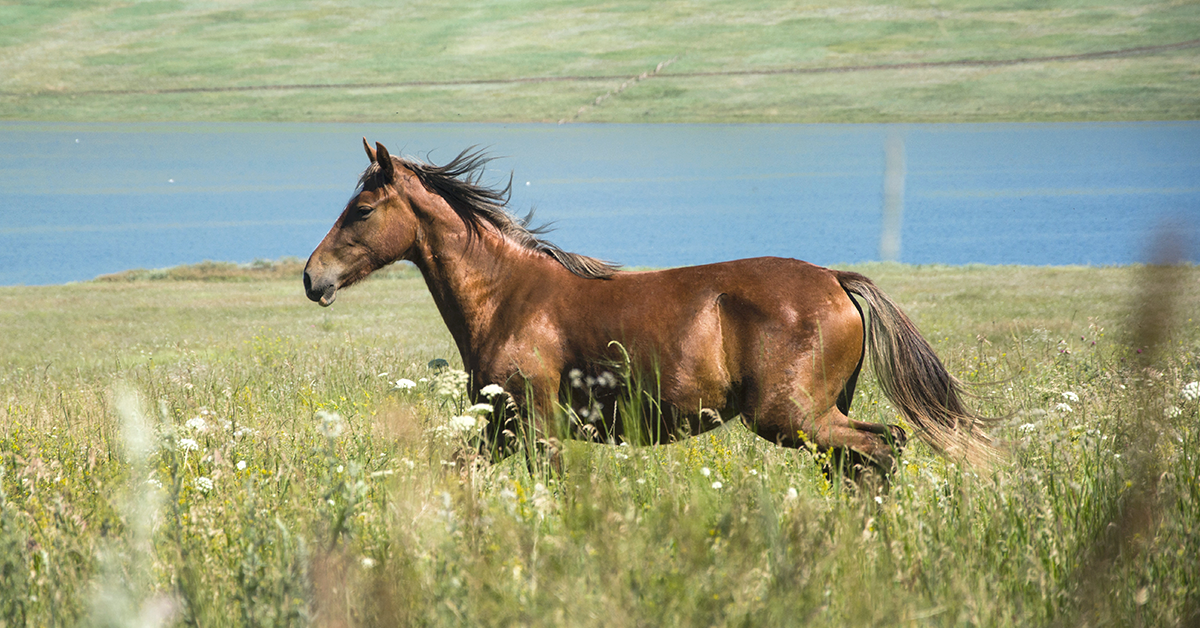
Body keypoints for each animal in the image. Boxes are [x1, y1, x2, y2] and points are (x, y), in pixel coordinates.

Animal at [304, 139, 998, 480]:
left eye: (361, 210)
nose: (313, 278)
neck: (508, 297)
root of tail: (835, 280)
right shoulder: (502, 430)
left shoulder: (536, 427)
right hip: (813, 419)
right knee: (865, 460)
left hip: (791, 417)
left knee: (882, 449)